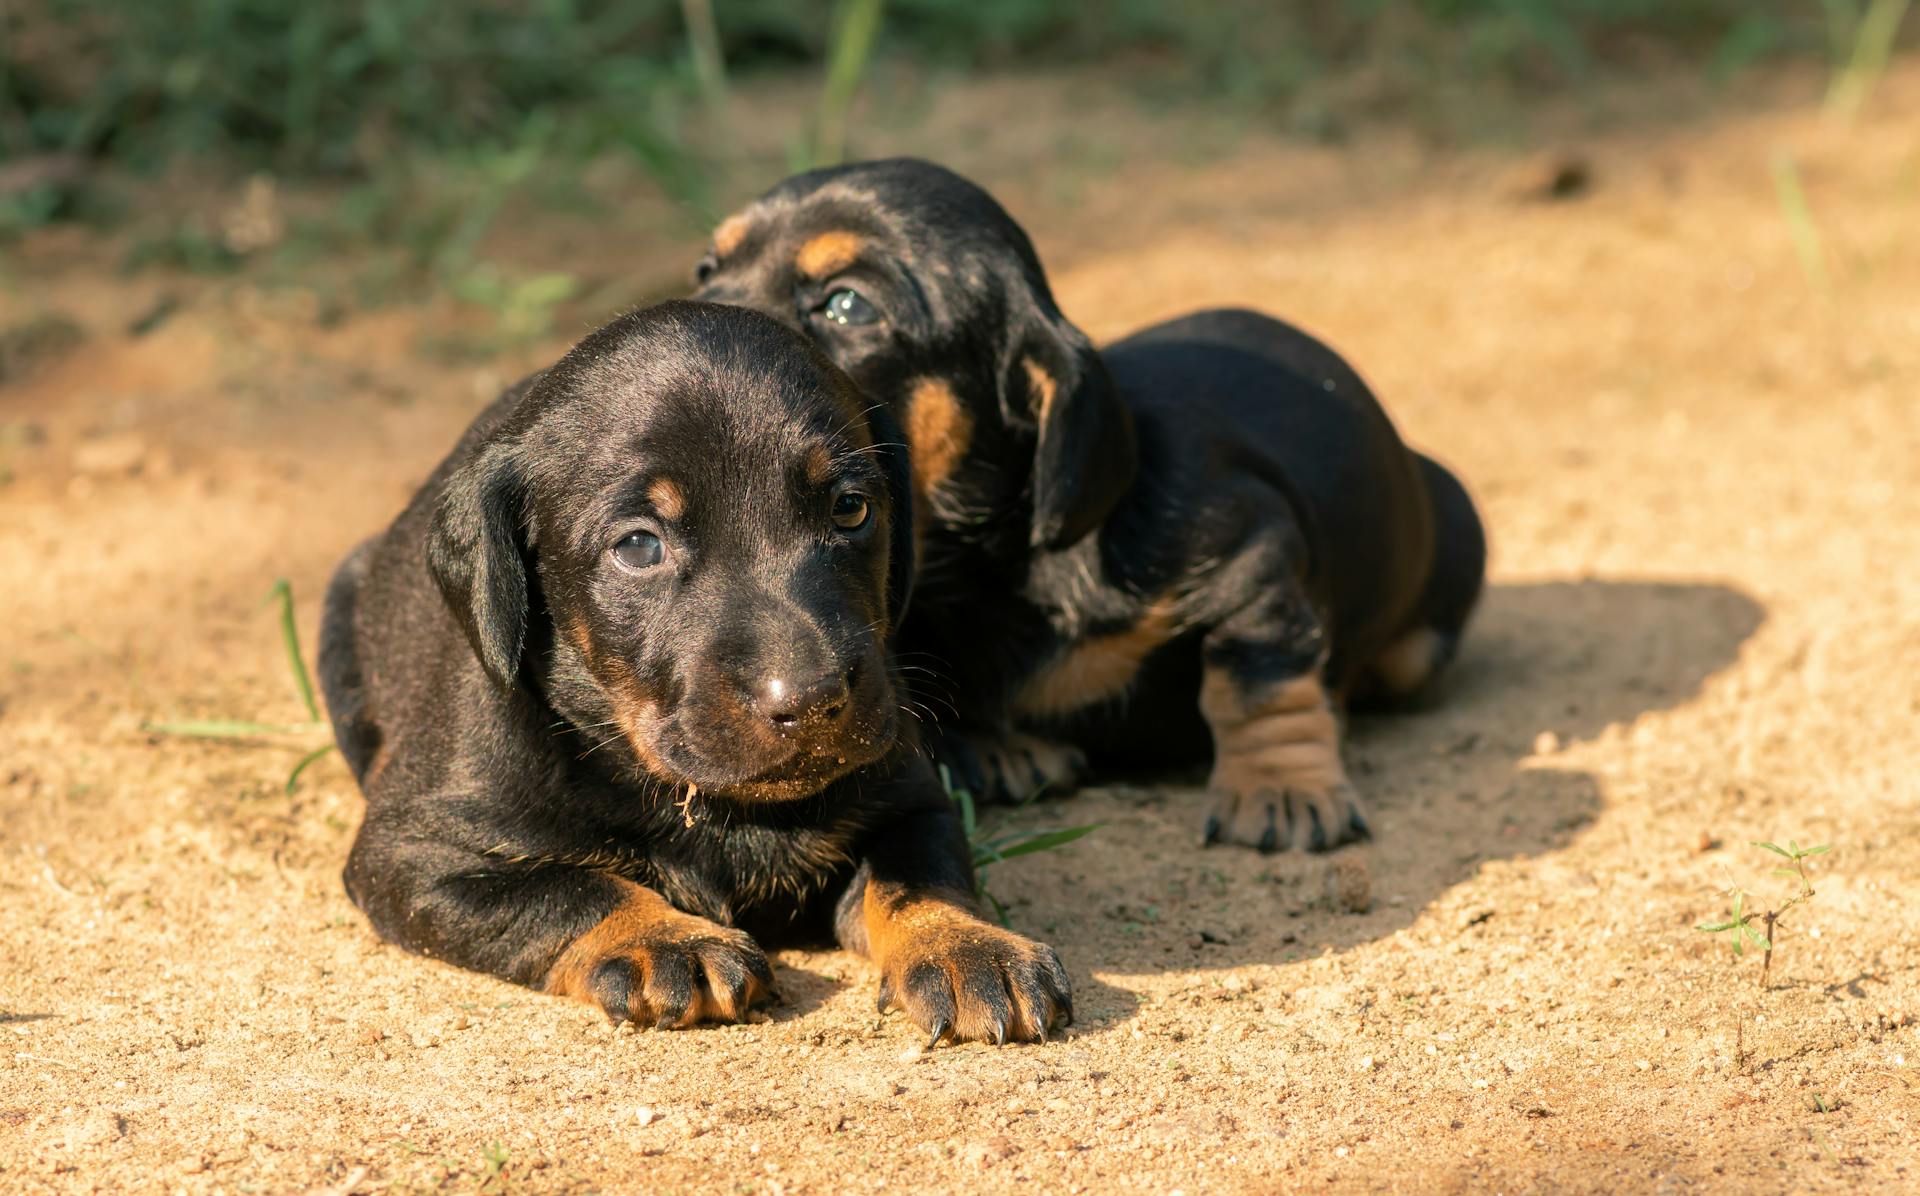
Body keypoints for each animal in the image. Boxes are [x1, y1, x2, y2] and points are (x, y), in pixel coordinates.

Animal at [314, 303, 1067, 1044]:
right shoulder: (413, 853)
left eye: (851, 507)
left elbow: (920, 876)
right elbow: (570, 889)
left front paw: (964, 943)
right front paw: (666, 940)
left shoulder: (909, 797)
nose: (813, 700)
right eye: (639, 545)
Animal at [698, 159, 1489, 856]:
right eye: (708, 268)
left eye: (847, 304)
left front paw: (1281, 788)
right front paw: (997, 745)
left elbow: (1257, 679)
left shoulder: (1254, 555)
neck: (987, 566)